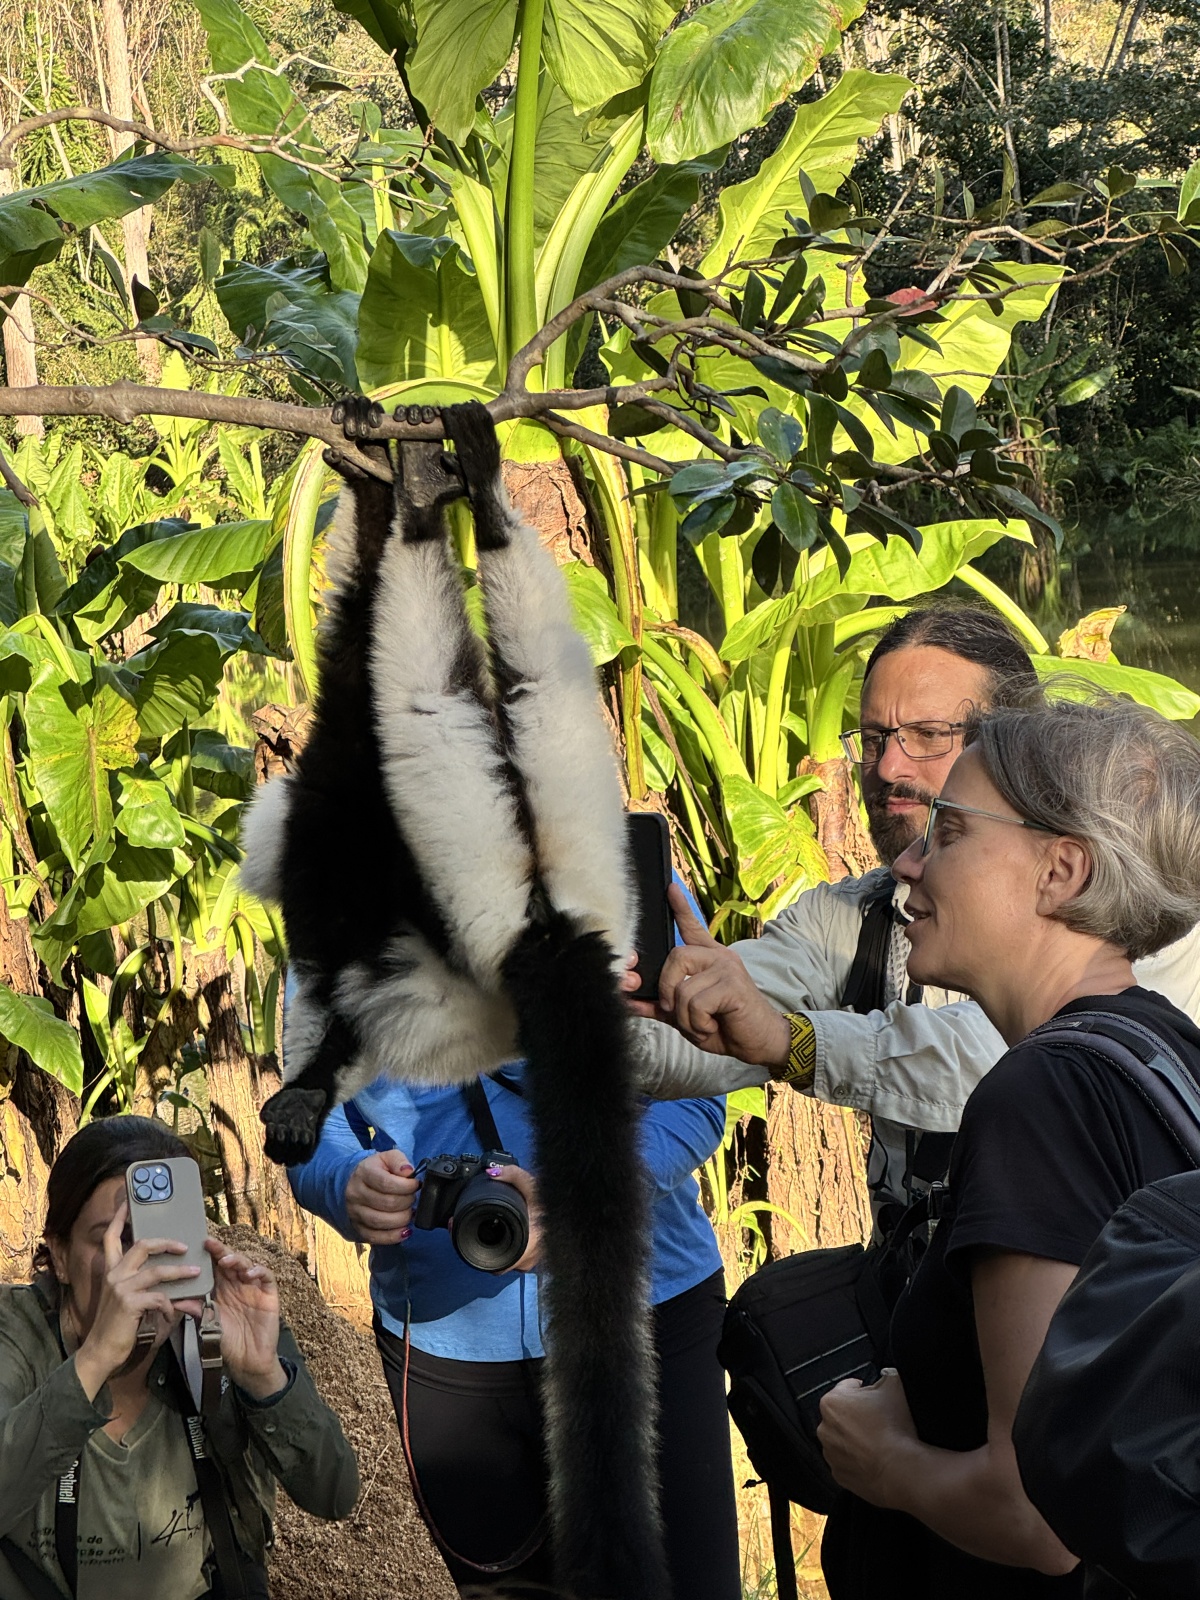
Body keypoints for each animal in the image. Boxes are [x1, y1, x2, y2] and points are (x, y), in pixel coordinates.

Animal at [238, 400, 669, 1600]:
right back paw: (479, 506)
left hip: (469, 858)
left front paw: (377, 495)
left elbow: (349, 680)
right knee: (535, 687)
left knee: (422, 690)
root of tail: (552, 938)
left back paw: (434, 513)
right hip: (574, 824)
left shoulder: (334, 854)